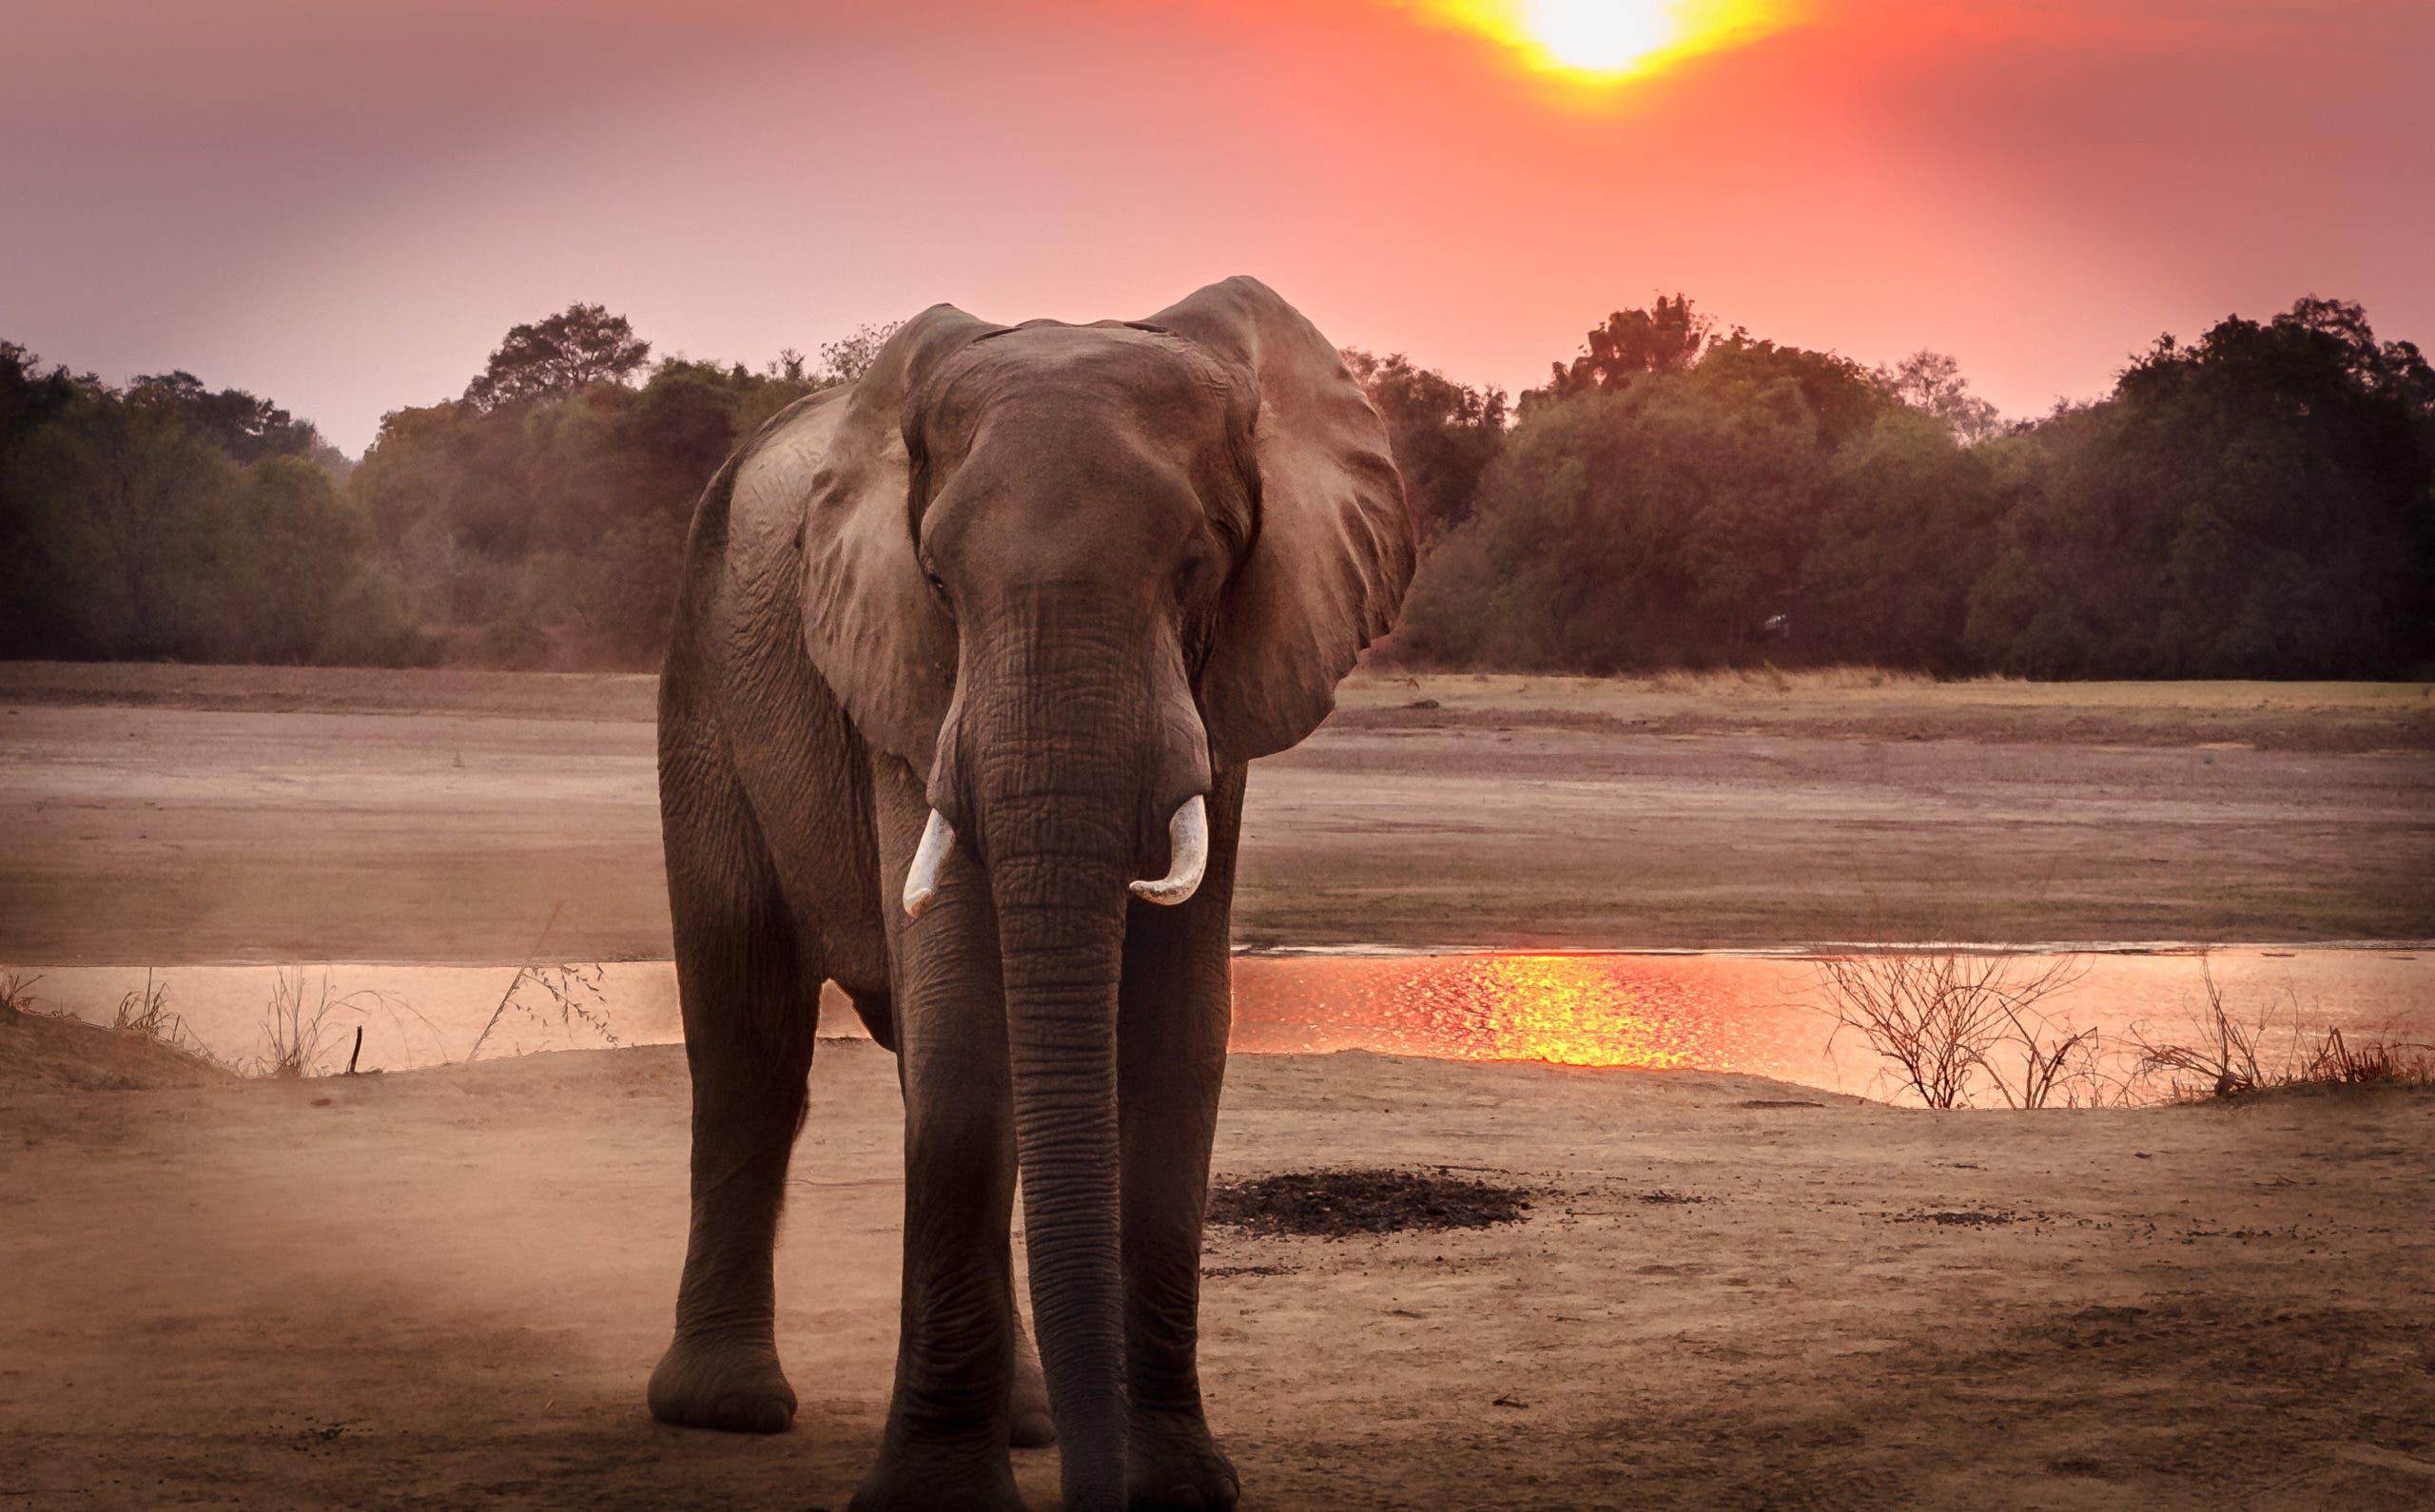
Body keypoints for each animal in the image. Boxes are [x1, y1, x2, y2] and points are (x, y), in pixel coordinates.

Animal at [644, 276, 1414, 1510]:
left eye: (1198, 567)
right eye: (937, 583)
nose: (1105, 1493)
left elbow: (1174, 1038)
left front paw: (1178, 1489)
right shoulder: (904, 685)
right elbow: (964, 1032)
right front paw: (935, 1502)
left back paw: (1029, 1422)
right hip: (705, 680)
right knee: (748, 1036)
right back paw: (729, 1410)